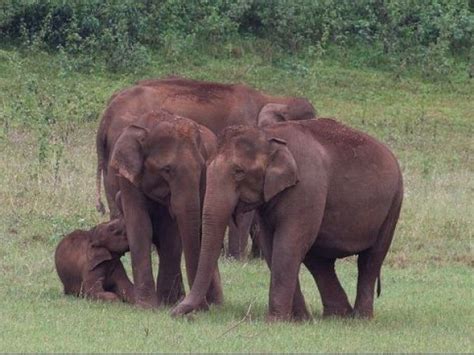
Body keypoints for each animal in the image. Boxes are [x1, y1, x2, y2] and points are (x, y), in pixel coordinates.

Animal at [100, 110, 222, 310]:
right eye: (166, 169)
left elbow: (170, 235)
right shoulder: (128, 178)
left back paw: (214, 303)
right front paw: (147, 306)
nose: (201, 308)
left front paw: (166, 302)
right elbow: (140, 226)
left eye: (202, 168)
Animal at [173, 118, 404, 322]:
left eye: (239, 172)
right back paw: (338, 316)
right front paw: (298, 320)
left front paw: (275, 321)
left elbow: (287, 245)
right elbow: (271, 247)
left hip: (393, 204)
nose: (175, 312)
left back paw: (360, 318)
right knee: (319, 261)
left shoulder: (306, 188)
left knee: (370, 260)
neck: (268, 135)